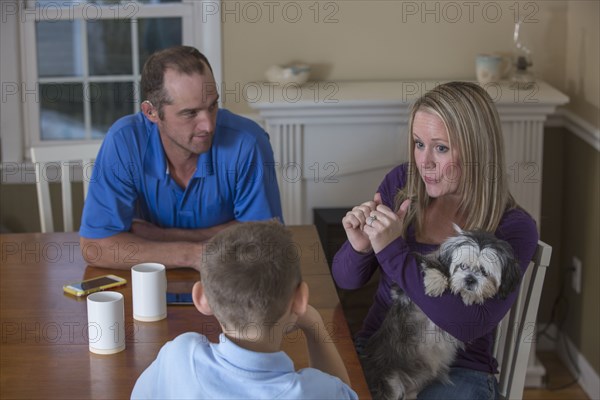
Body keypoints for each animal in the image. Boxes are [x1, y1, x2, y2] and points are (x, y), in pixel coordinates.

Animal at [360, 227, 520, 398]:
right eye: (462, 266)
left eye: (484, 271)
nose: (470, 279)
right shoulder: (402, 291)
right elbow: (428, 264)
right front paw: (436, 282)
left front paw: (471, 296)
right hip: (391, 383)